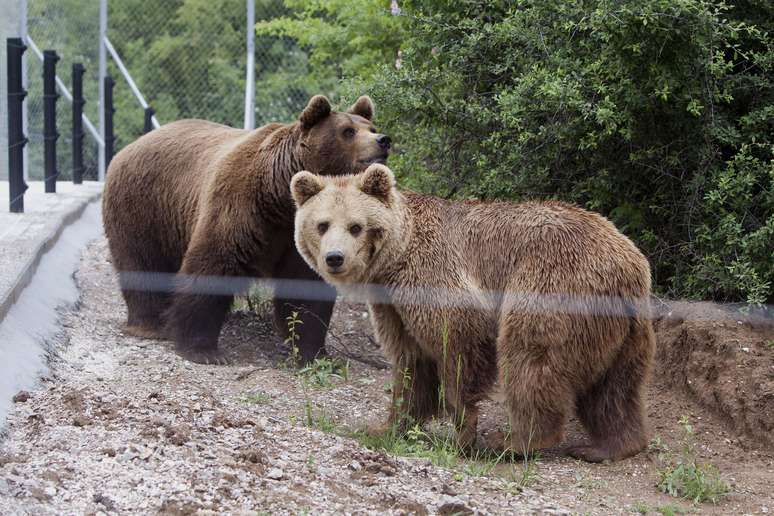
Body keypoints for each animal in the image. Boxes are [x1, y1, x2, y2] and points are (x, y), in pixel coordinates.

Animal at [103, 94, 392, 364]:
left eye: (371, 126)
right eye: (348, 131)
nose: (383, 140)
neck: (279, 198)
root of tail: (130, 146)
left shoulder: (298, 235)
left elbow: (306, 287)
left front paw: (312, 352)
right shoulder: (238, 206)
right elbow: (212, 266)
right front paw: (202, 349)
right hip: (143, 206)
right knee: (142, 263)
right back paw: (150, 324)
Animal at [294, 163, 656, 462]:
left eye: (356, 226)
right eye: (322, 225)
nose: (335, 258)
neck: (395, 259)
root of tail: (631, 264)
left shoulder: (434, 278)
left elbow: (458, 344)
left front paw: (462, 435)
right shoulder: (392, 307)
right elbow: (411, 364)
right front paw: (385, 427)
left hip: (554, 284)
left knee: (531, 359)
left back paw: (513, 441)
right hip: (624, 328)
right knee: (615, 389)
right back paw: (609, 446)